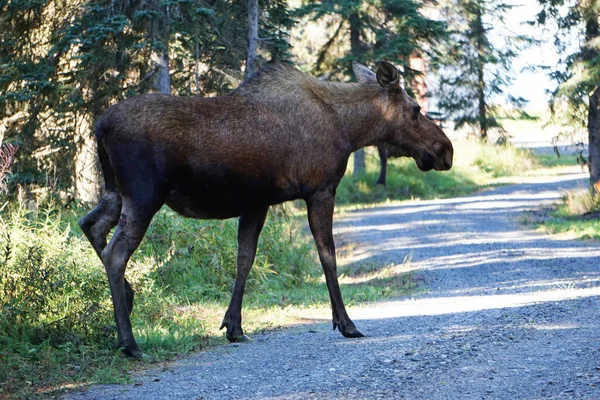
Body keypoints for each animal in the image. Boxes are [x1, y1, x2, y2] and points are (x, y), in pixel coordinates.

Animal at [81, 61, 454, 358]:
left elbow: (245, 258)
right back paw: (129, 342)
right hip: (144, 195)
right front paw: (345, 323)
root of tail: (99, 127)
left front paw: (234, 326)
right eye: (415, 109)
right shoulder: (320, 189)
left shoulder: (257, 202)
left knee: (90, 225)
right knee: (115, 252)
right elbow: (327, 256)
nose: (445, 150)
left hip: (115, 192)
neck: (349, 129)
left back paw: (128, 298)